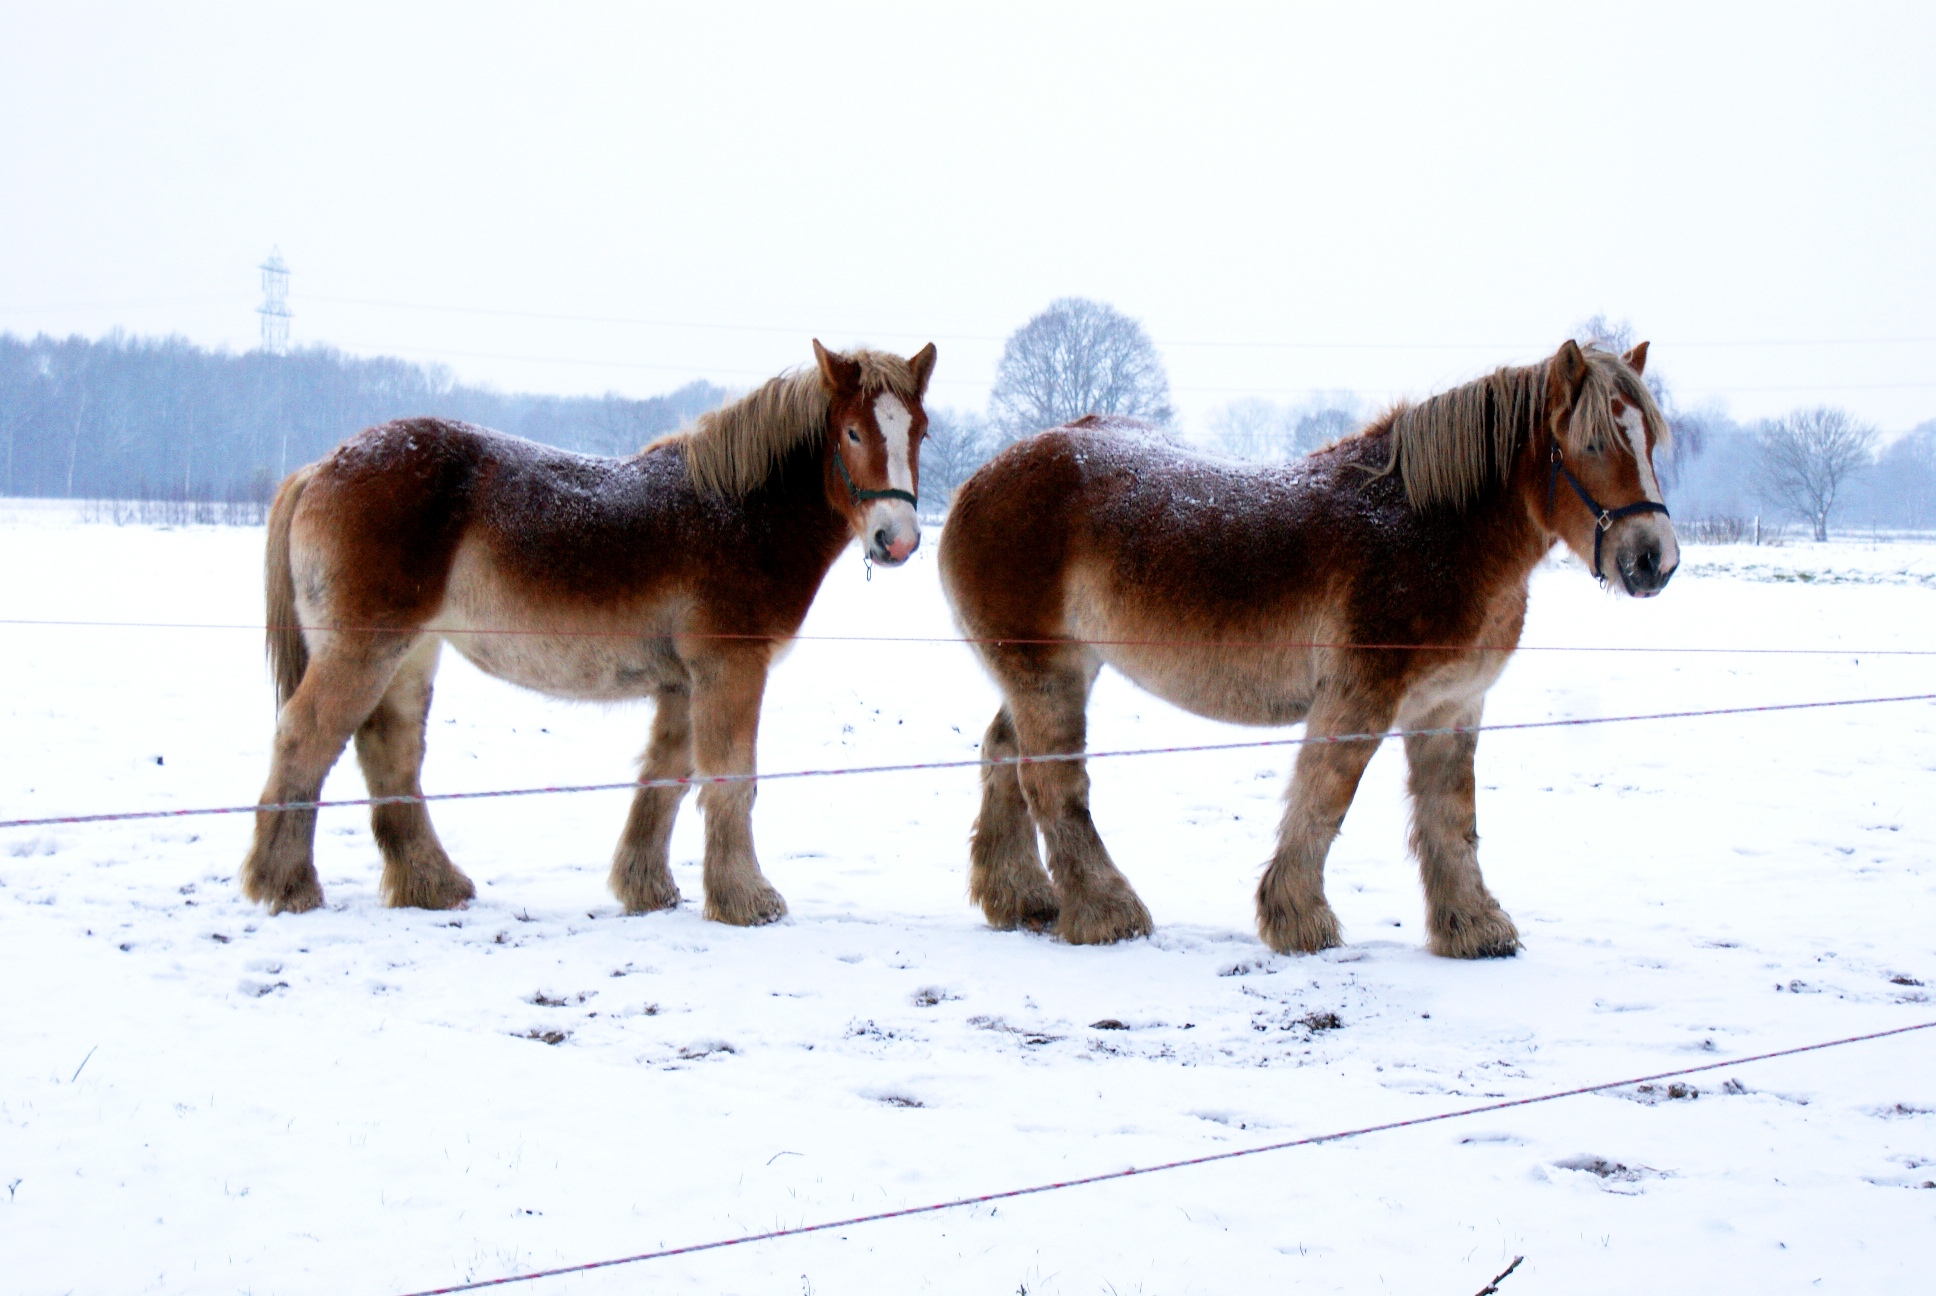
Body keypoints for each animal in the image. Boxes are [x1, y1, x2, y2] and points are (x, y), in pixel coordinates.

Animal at [241, 340, 936, 924]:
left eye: (920, 431)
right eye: (851, 431)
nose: (897, 539)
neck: (741, 513)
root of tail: (322, 465)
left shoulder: (684, 684)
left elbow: (667, 776)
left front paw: (648, 889)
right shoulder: (730, 669)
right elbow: (732, 778)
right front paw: (748, 898)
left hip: (410, 655)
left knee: (390, 754)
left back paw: (432, 884)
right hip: (363, 649)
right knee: (305, 740)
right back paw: (286, 885)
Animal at [938, 340, 1675, 959]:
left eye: (1650, 443)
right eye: (1590, 442)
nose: (1653, 560)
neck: (1431, 531)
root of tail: (980, 480)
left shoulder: (1450, 707)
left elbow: (1451, 818)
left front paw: (1472, 927)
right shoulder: (1360, 697)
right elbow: (1325, 799)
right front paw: (1299, 920)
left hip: (1058, 669)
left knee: (1004, 755)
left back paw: (1024, 900)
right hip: (1049, 671)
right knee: (1052, 780)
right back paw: (1104, 912)